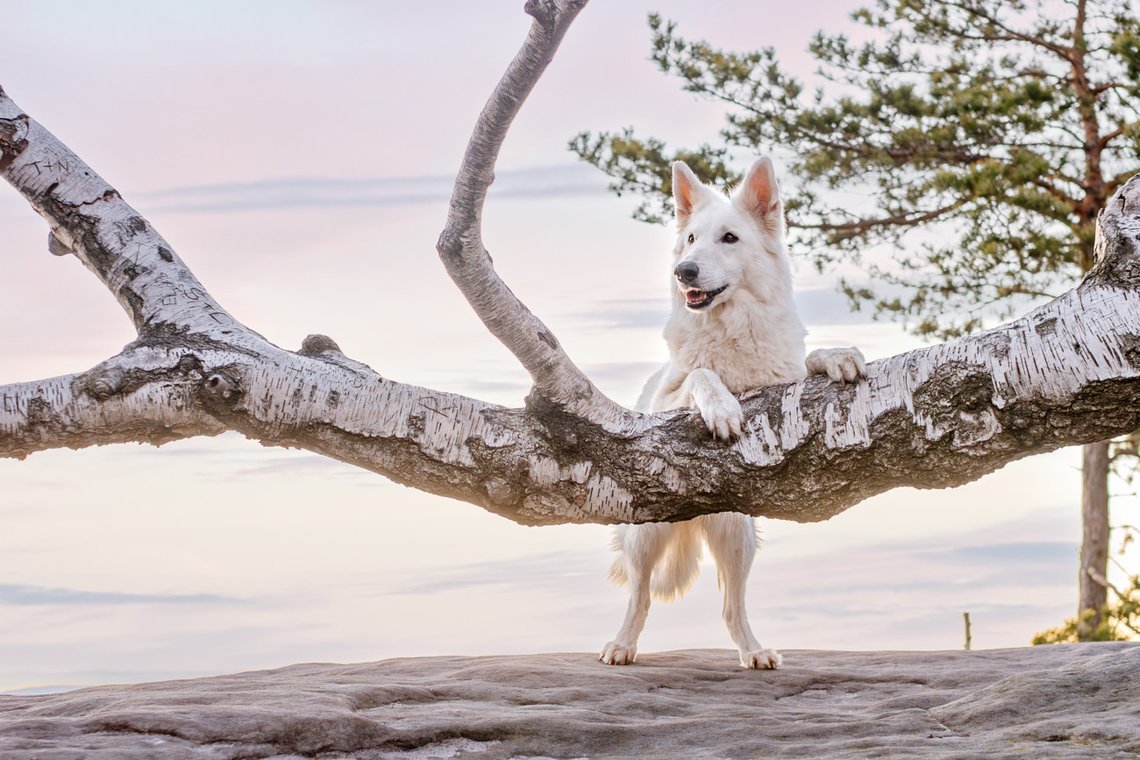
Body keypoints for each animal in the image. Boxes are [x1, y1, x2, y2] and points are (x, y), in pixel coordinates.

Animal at [601, 157, 857, 669]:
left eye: (730, 238)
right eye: (691, 239)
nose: (683, 271)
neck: (731, 328)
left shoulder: (782, 381)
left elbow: (809, 360)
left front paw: (838, 356)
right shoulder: (665, 403)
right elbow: (701, 373)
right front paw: (721, 407)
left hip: (739, 537)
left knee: (730, 607)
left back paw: (754, 652)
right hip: (646, 535)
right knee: (640, 596)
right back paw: (622, 645)